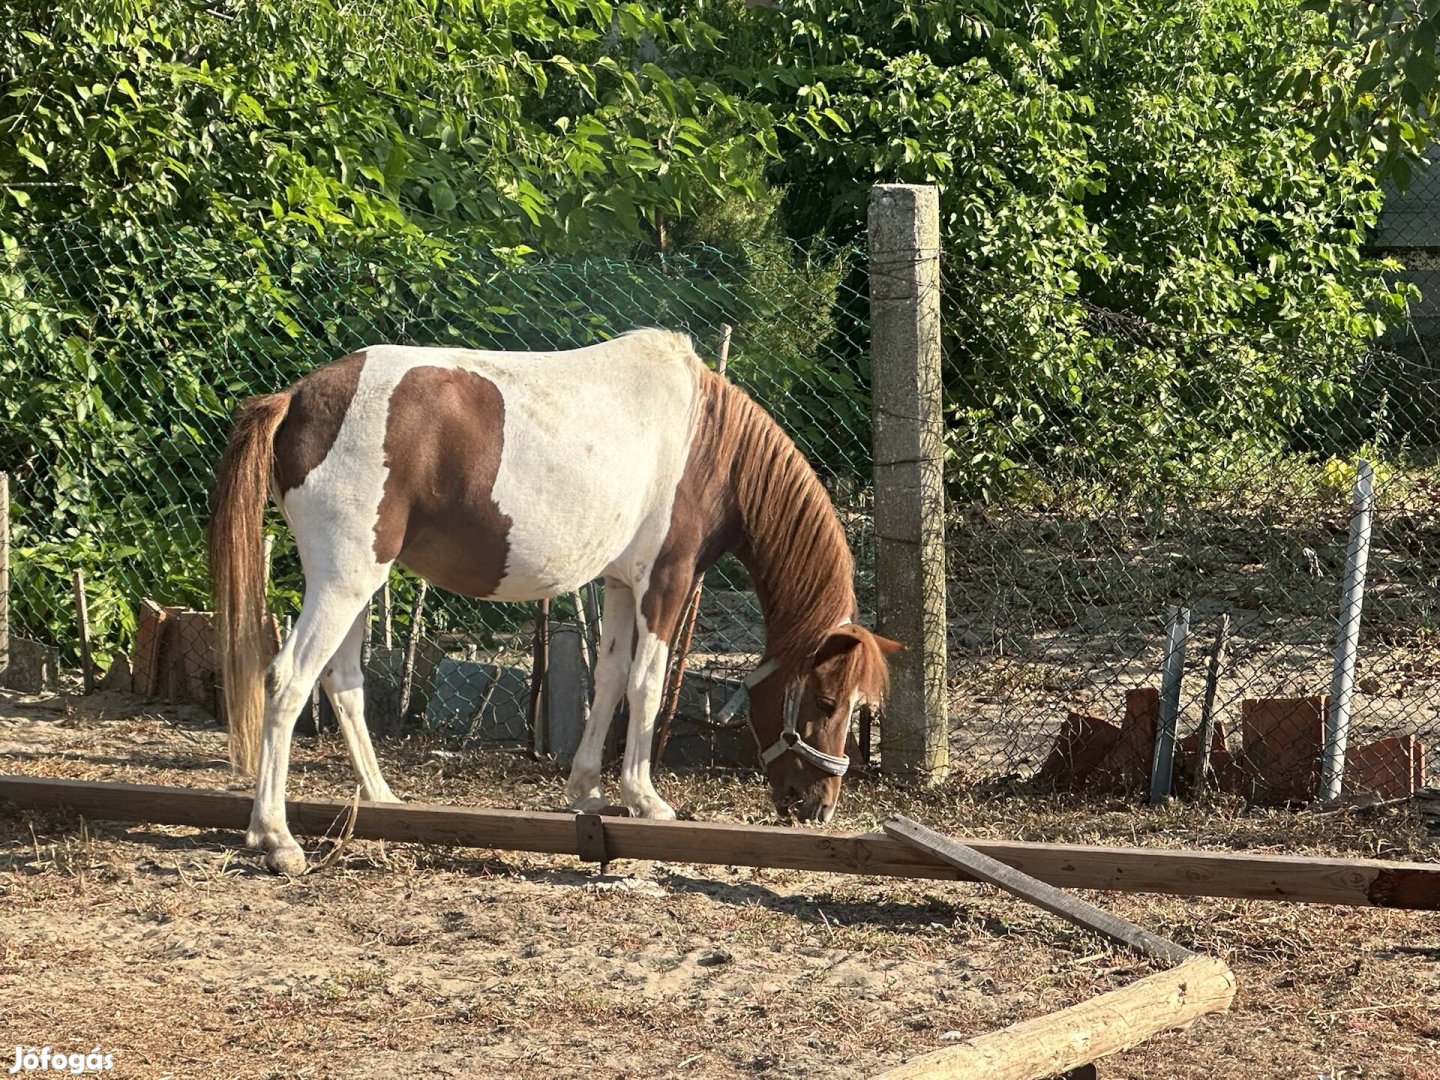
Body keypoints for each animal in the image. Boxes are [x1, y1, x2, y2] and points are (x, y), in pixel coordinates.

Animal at [210, 328, 898, 869]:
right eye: (828, 700)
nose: (818, 806)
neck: (707, 442)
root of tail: (296, 399)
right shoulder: (664, 582)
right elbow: (648, 685)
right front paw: (646, 798)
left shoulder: (620, 585)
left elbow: (612, 679)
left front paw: (588, 790)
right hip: (345, 577)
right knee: (289, 679)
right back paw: (274, 837)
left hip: (360, 582)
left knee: (343, 681)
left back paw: (381, 799)